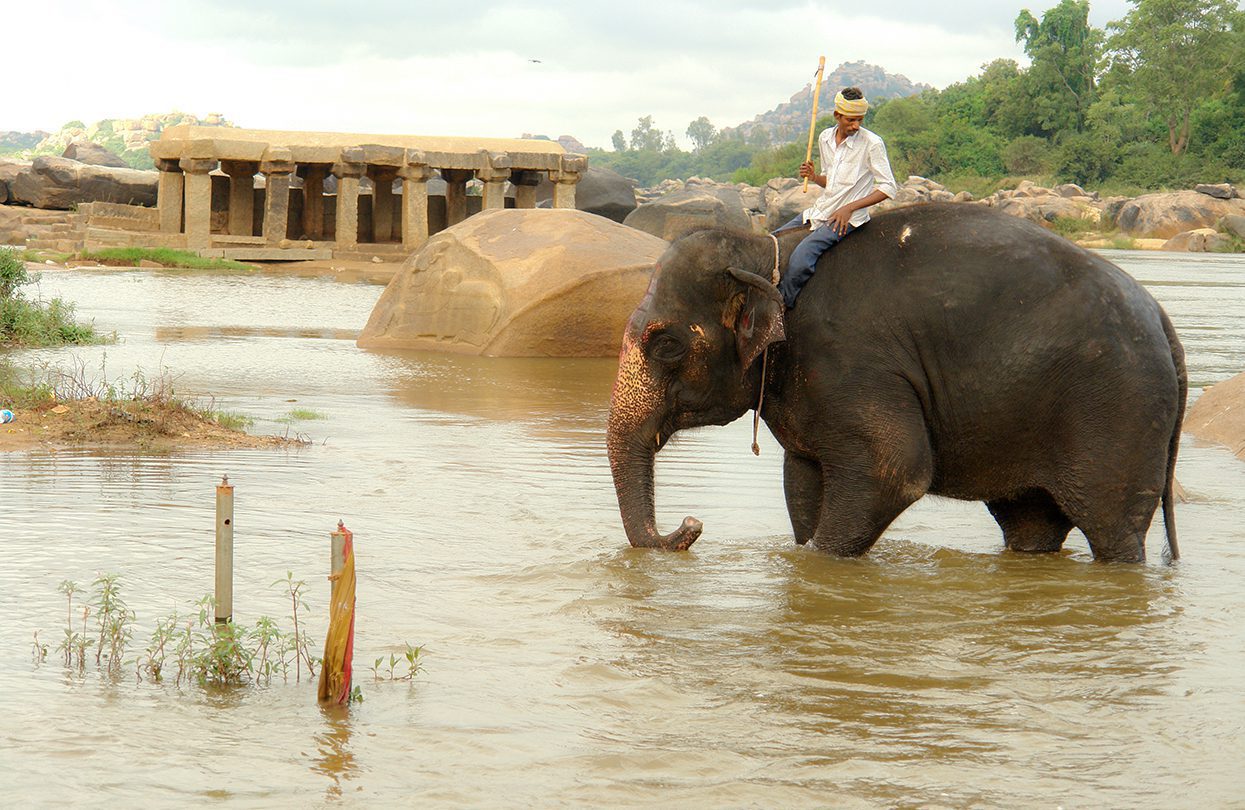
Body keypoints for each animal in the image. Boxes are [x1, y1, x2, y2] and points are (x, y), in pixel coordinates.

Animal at [610, 201, 1185, 564]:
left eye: (666, 345)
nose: (691, 524)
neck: (766, 251)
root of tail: (1161, 316)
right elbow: (802, 480)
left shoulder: (849, 359)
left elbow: (893, 469)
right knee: (1031, 523)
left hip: (1119, 407)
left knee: (1113, 527)